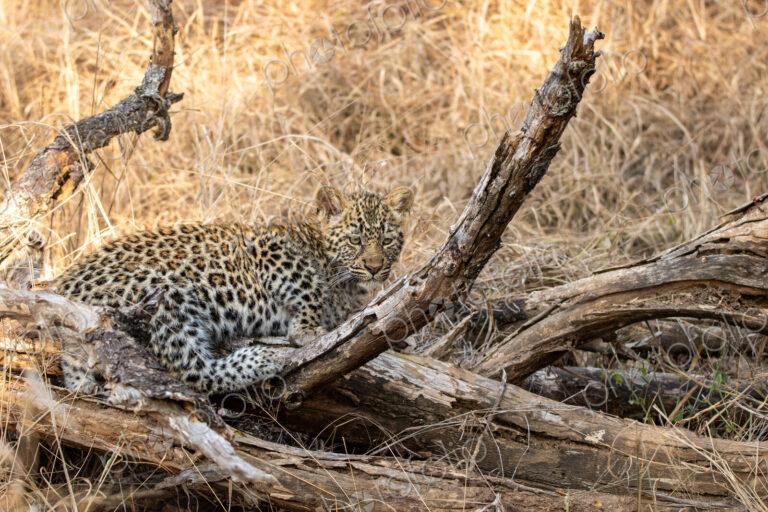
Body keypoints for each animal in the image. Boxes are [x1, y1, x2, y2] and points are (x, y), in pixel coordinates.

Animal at [53, 186, 414, 395]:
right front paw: (307, 330)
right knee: (193, 371)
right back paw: (264, 358)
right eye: (355, 240)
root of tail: (62, 288)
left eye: (386, 240)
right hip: (167, 294)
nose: (375, 267)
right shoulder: (266, 248)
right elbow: (310, 285)